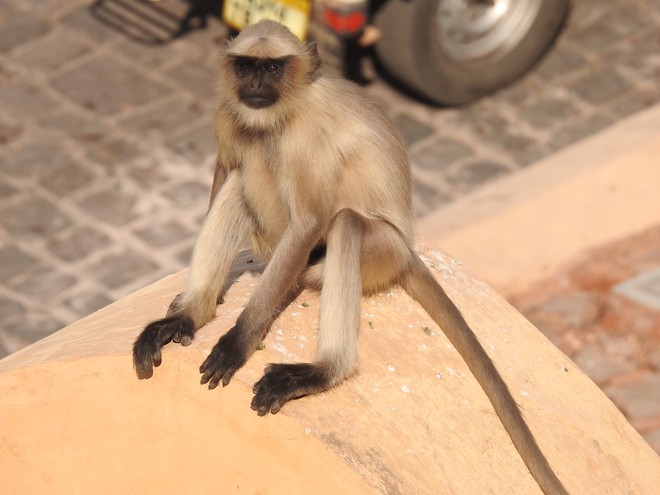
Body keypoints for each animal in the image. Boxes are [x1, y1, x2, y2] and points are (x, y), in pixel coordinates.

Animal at [133, 20, 568, 495]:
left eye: (272, 68)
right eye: (247, 67)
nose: (255, 84)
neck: (285, 111)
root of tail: (408, 251)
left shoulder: (304, 137)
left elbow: (309, 221)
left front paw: (238, 340)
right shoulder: (230, 112)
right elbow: (226, 170)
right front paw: (190, 308)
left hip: (378, 253)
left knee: (344, 222)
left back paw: (325, 369)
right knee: (241, 177)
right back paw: (190, 314)